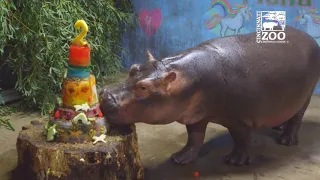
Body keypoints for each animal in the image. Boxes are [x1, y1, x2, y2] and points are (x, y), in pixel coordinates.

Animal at [100, 26, 320, 166]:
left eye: (144, 87)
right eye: (133, 68)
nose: (104, 95)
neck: (188, 76)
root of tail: (310, 38)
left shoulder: (239, 119)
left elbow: (241, 139)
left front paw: (235, 161)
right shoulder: (194, 115)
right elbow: (194, 137)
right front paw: (179, 159)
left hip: (306, 94)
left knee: (297, 118)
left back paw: (286, 140)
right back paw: (278, 126)